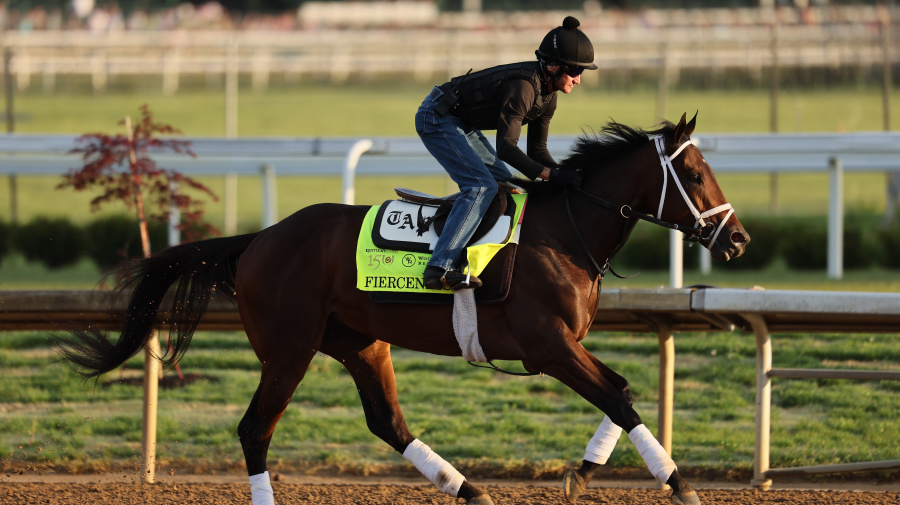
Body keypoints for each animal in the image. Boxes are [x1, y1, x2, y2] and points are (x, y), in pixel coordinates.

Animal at [56, 113, 744, 504]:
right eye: (695, 174)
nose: (737, 240)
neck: (565, 232)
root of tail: (259, 239)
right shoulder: (547, 344)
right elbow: (618, 396)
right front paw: (680, 484)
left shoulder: (563, 344)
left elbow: (620, 391)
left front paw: (584, 473)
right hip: (289, 348)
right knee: (255, 429)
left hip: (361, 342)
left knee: (387, 422)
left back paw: (467, 489)